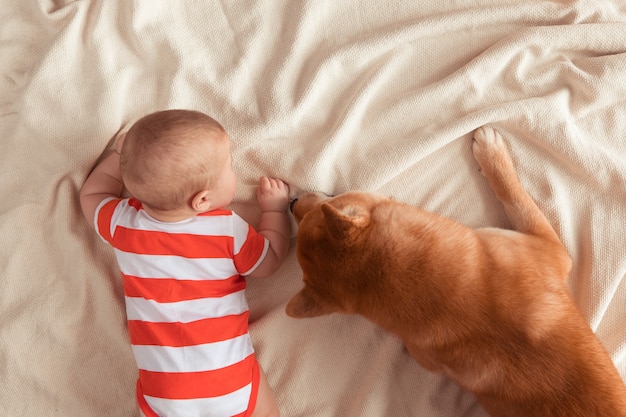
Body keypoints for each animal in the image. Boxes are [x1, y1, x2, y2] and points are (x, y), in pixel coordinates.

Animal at [286, 125, 624, 414]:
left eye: (330, 201)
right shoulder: (551, 249)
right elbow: (515, 196)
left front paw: (490, 151)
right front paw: (491, 151)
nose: (290, 202)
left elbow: (515, 197)